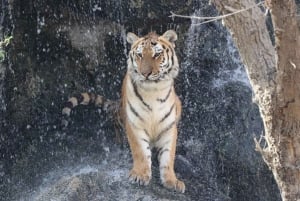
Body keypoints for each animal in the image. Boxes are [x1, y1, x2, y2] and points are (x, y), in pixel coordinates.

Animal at [62, 30, 185, 193]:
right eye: (140, 55)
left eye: (157, 54)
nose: (145, 73)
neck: (153, 91)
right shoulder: (134, 124)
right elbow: (140, 151)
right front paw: (140, 175)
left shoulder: (169, 127)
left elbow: (168, 157)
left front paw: (172, 181)